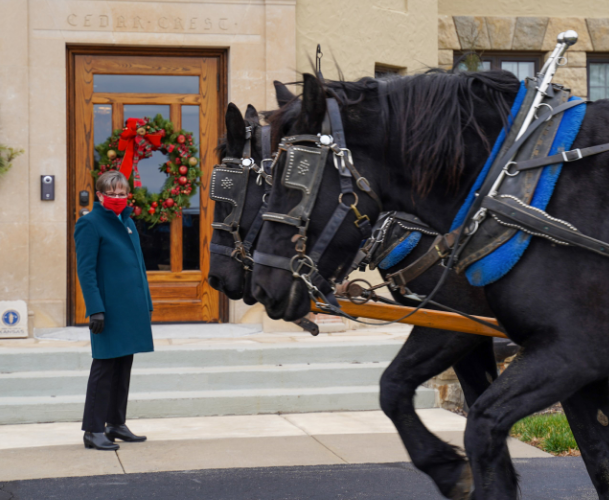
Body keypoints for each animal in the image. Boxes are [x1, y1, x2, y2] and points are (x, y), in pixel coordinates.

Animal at [252, 71, 609, 500]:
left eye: (294, 175)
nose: (261, 285)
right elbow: (395, 387)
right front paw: (448, 468)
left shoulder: (568, 350)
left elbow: (481, 422)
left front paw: (457, 470)